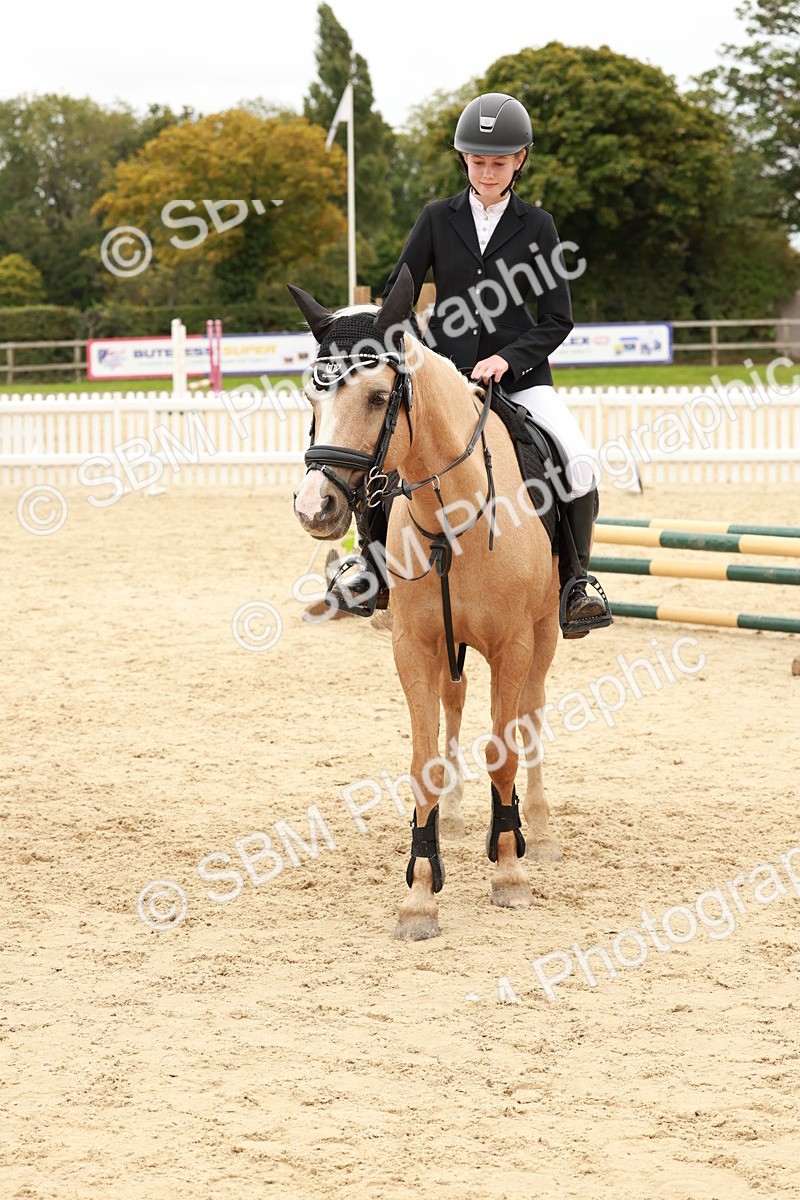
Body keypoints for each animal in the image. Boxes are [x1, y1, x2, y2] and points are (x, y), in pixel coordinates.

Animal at [290, 265, 562, 941]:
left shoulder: (514, 642)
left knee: (531, 715)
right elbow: (423, 761)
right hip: (451, 646)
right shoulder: (414, 645)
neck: (454, 516)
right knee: (456, 705)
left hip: (545, 633)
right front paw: (419, 893)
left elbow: (504, 749)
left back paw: (539, 829)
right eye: (312, 398)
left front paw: (509, 870)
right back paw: (463, 815)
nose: (315, 509)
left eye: (377, 398)